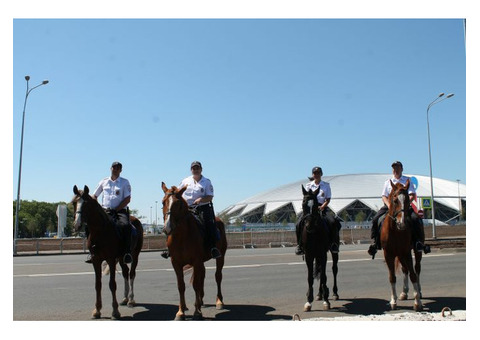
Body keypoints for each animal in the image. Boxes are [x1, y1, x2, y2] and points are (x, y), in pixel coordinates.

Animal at [71, 185, 142, 320]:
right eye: (73, 203)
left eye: (86, 204)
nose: (77, 225)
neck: (100, 232)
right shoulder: (96, 260)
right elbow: (98, 284)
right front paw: (97, 310)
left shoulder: (111, 259)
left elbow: (112, 284)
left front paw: (115, 312)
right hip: (121, 258)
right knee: (125, 272)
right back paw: (125, 298)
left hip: (135, 255)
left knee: (131, 274)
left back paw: (131, 299)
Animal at [161, 182, 229, 320]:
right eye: (163, 202)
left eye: (179, 203)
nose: (167, 227)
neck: (181, 236)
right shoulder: (176, 263)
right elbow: (181, 286)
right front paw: (181, 311)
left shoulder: (196, 261)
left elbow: (196, 284)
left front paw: (197, 312)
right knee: (202, 276)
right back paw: (200, 301)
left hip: (220, 256)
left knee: (218, 276)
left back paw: (219, 301)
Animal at [380, 181, 422, 310]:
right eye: (395, 200)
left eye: (408, 199)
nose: (402, 223)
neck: (396, 231)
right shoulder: (388, 254)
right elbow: (392, 277)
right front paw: (393, 300)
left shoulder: (406, 252)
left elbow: (413, 275)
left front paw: (417, 302)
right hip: (400, 255)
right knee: (405, 269)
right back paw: (404, 292)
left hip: (416, 252)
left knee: (417, 269)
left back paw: (419, 291)